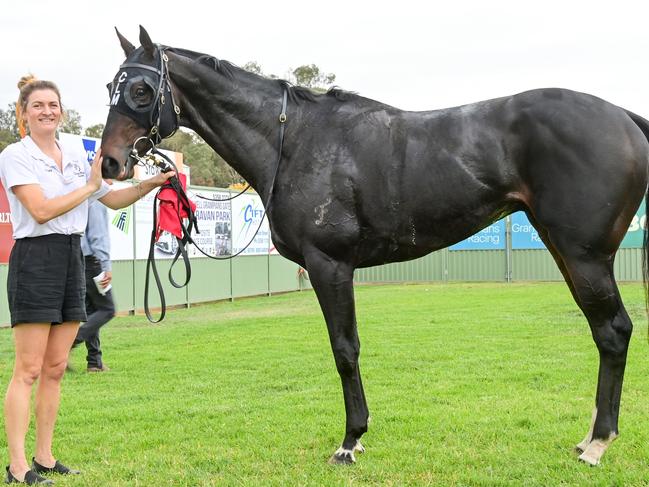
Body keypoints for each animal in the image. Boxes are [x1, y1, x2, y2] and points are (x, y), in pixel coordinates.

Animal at [100, 27, 648, 468]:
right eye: (112, 87)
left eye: (142, 89)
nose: (109, 163)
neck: (294, 142)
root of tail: (623, 117)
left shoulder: (330, 265)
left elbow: (345, 348)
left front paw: (350, 440)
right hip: (566, 251)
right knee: (603, 332)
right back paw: (589, 437)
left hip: (585, 256)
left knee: (614, 331)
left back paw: (599, 443)